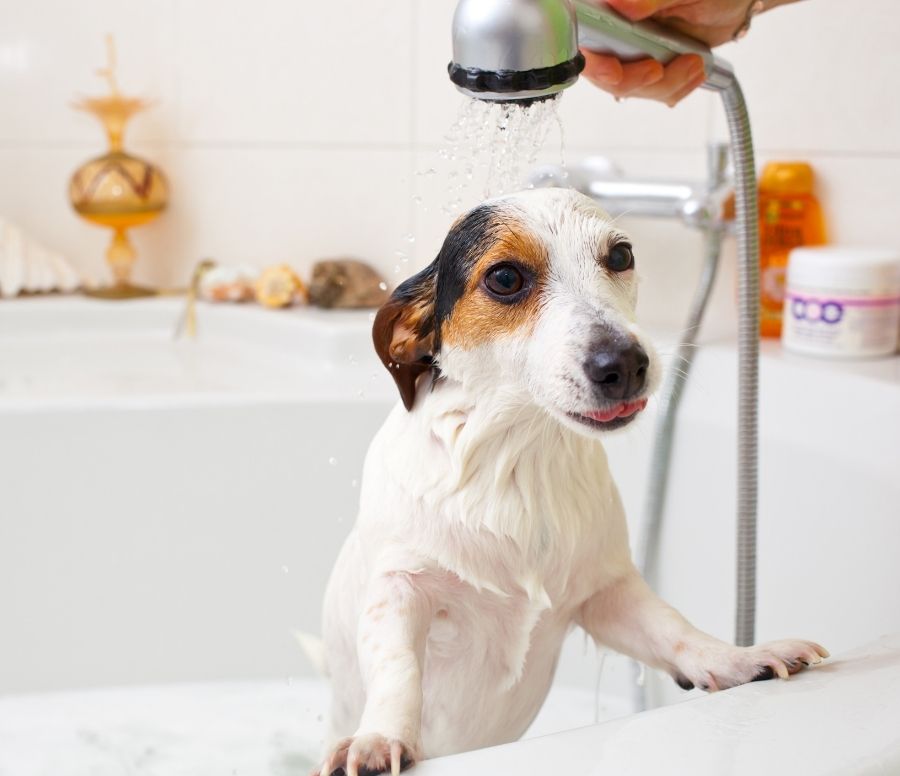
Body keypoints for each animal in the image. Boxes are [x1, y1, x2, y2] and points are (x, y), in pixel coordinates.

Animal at [314, 189, 824, 776]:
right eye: (505, 277)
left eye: (621, 255)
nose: (624, 364)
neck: (516, 465)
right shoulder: (400, 587)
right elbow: (396, 667)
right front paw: (378, 737)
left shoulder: (608, 594)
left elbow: (674, 629)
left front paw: (738, 658)